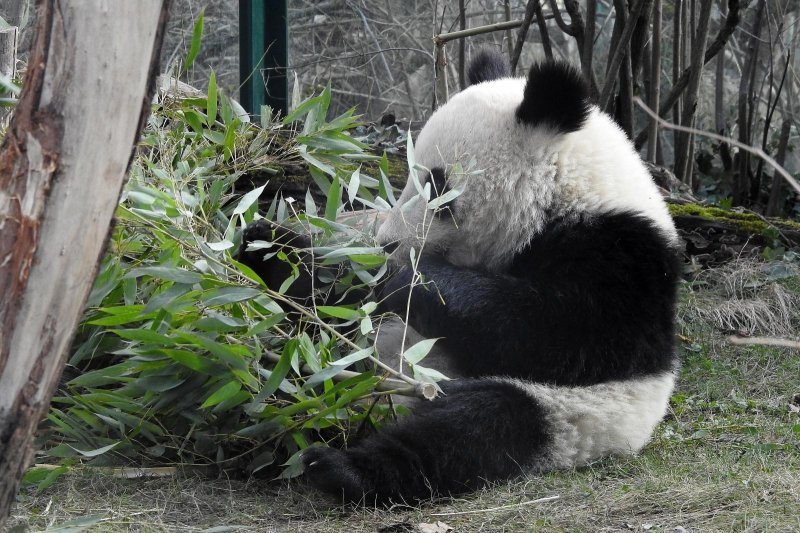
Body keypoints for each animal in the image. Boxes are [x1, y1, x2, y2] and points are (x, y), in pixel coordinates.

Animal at [239, 48, 680, 502]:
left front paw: (410, 279)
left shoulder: (622, 262)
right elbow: (337, 291)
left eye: (437, 186)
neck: (564, 194)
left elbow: (555, 336)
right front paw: (271, 249)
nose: (387, 243)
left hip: (565, 415)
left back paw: (340, 466)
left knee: (475, 427)